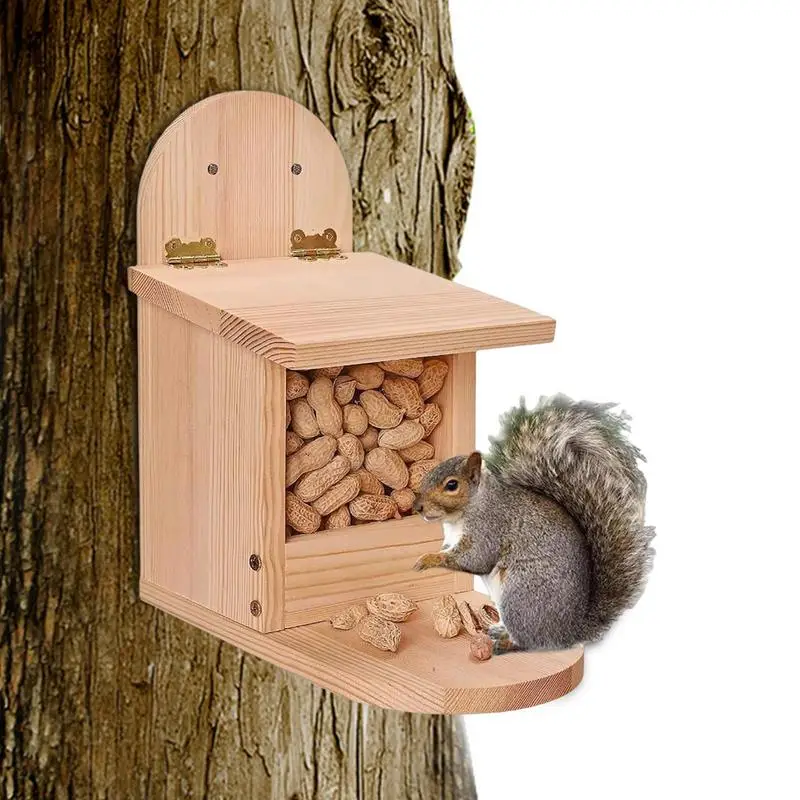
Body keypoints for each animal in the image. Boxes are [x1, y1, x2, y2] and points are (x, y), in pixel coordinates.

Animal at [412, 394, 655, 654]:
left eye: (451, 485)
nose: (418, 506)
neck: (465, 511)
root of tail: (568, 633)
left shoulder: (489, 526)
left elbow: (475, 559)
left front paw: (427, 559)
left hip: (521, 594)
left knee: (529, 642)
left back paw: (504, 643)